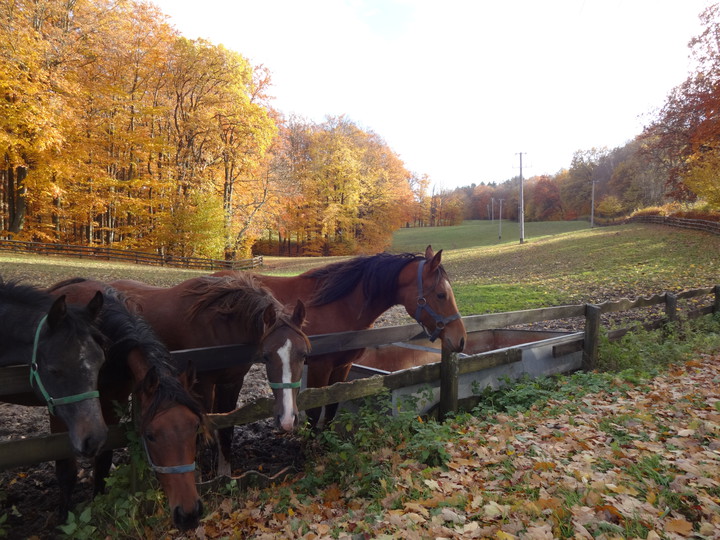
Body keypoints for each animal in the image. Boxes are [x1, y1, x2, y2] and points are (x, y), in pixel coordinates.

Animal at [47, 278, 208, 532]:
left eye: (195, 428)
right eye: (150, 436)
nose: (189, 514)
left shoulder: (115, 402)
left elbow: (103, 461)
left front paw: (98, 504)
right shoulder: (60, 408)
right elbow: (65, 469)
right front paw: (63, 518)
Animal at [110, 272, 310, 474]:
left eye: (303, 355)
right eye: (267, 356)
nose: (287, 420)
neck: (223, 326)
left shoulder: (232, 382)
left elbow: (226, 427)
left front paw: (224, 472)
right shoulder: (202, 385)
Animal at [212, 245, 466, 426]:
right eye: (441, 294)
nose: (460, 339)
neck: (340, 306)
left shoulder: (342, 366)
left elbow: (332, 407)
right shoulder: (319, 367)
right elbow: (314, 412)